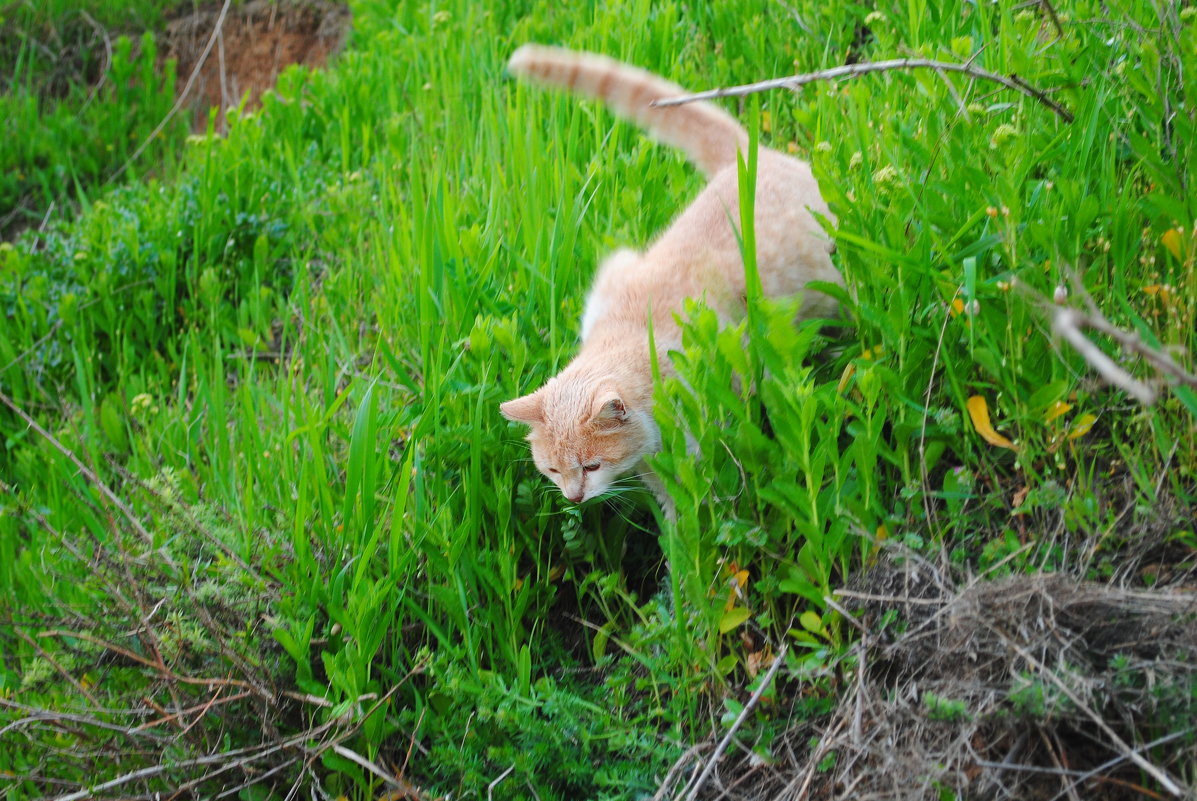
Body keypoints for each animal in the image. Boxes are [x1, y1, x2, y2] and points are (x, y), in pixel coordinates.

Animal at [495, 46, 842, 512]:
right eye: (552, 469)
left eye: (591, 466)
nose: (574, 497)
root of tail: (748, 158)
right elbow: (669, 495)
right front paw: (677, 527)